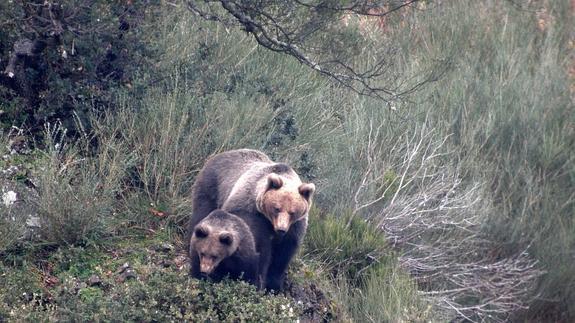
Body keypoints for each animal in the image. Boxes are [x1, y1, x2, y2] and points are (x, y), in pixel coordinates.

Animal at [188, 149, 316, 292]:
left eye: (292, 212)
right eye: (277, 208)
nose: (281, 229)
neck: (269, 221)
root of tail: (224, 153)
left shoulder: (295, 227)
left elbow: (283, 254)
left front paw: (274, 286)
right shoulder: (249, 210)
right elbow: (259, 249)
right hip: (211, 185)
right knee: (201, 212)